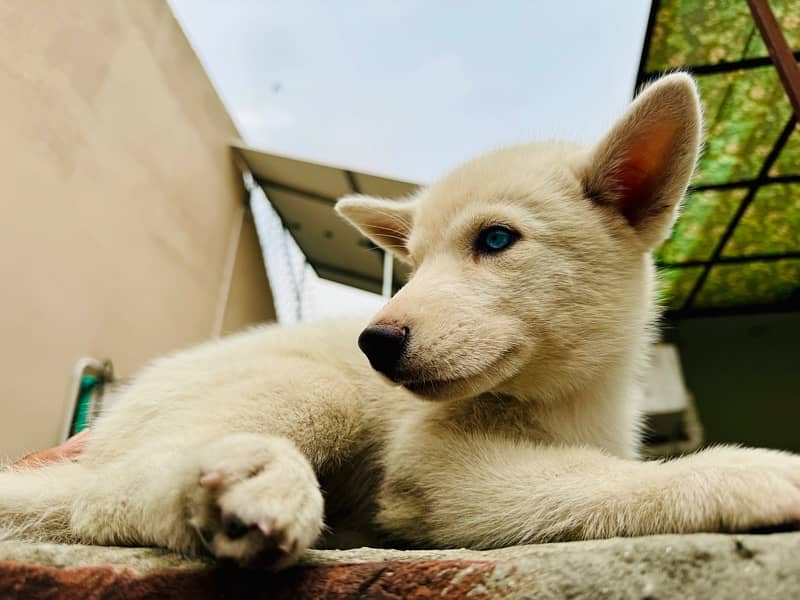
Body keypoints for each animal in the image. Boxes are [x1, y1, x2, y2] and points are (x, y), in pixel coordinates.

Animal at [1, 72, 800, 568]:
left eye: (496, 240)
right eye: (409, 262)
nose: (375, 342)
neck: (563, 399)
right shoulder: (431, 471)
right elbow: (600, 480)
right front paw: (753, 473)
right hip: (313, 394)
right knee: (104, 500)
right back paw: (266, 485)